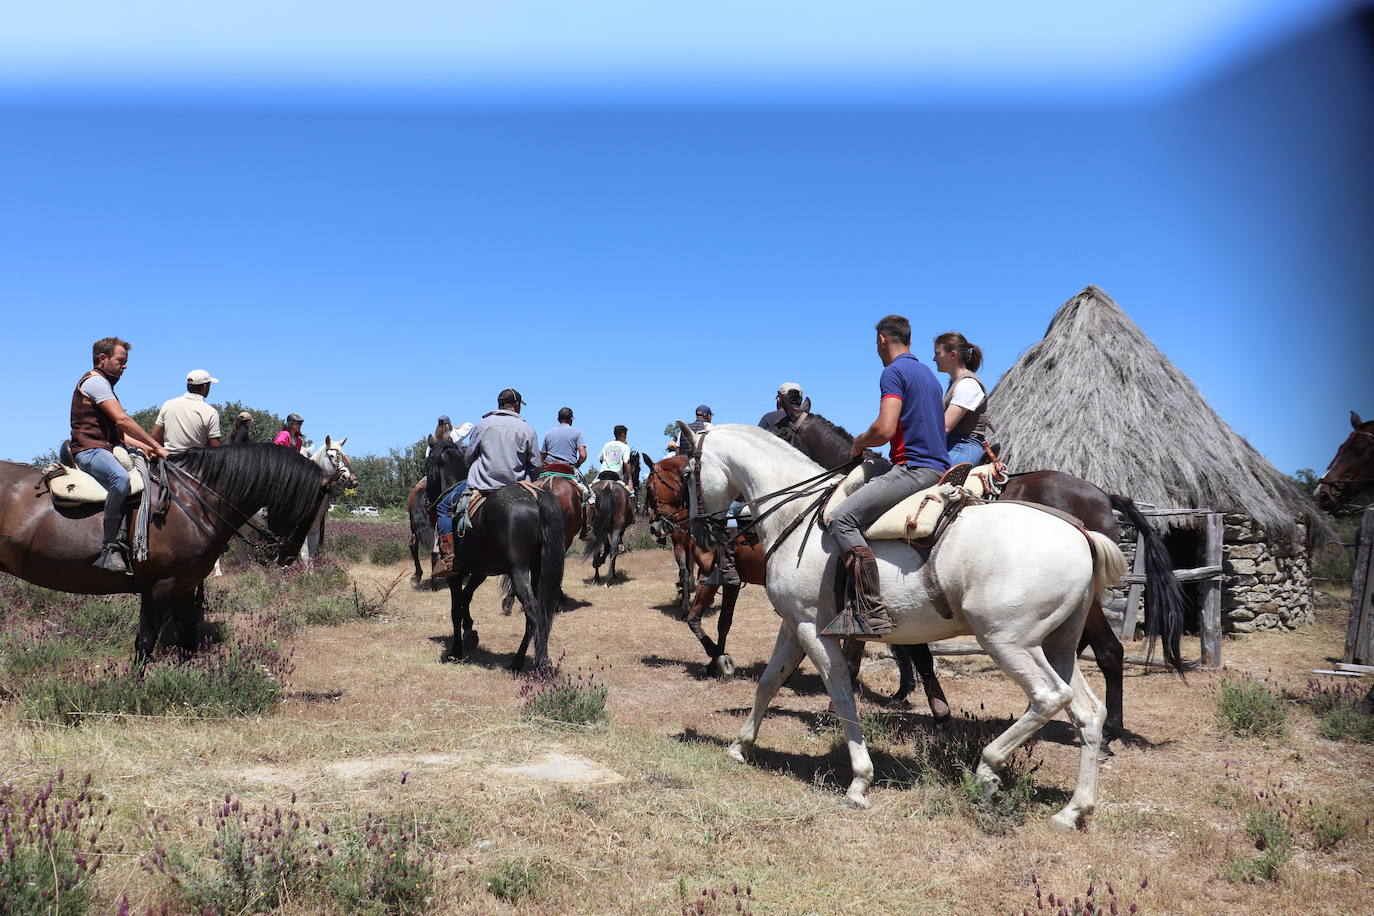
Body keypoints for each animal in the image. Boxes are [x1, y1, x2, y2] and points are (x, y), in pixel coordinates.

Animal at [0, 442, 332, 659]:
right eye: (312, 505)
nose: (288, 555)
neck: (194, 499)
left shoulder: (184, 586)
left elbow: (187, 638)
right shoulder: (158, 586)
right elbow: (146, 641)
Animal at [423, 439, 563, 670]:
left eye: (427, 465)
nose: (427, 500)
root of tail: (536, 497)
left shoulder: (455, 574)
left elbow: (455, 608)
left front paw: (456, 651)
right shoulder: (479, 572)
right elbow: (466, 597)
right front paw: (470, 631)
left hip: (519, 570)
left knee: (533, 610)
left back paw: (540, 662)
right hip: (538, 570)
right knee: (538, 613)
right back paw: (517, 661)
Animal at [582, 453, 640, 587]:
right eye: (638, 469)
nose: (637, 485)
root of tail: (608, 486)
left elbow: (605, 547)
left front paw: (599, 562)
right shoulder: (619, 529)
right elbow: (613, 548)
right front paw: (612, 572)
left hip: (598, 525)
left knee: (597, 547)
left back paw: (596, 576)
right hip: (617, 526)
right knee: (614, 550)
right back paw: (608, 579)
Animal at [684, 425, 1126, 829]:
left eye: (687, 470)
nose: (697, 533)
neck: (797, 515)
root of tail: (1080, 533)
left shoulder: (812, 628)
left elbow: (841, 692)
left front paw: (859, 783)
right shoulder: (794, 625)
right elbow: (769, 682)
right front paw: (739, 746)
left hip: (1008, 642)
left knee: (1051, 697)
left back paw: (987, 770)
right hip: (1057, 646)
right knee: (1087, 712)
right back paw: (1073, 810)